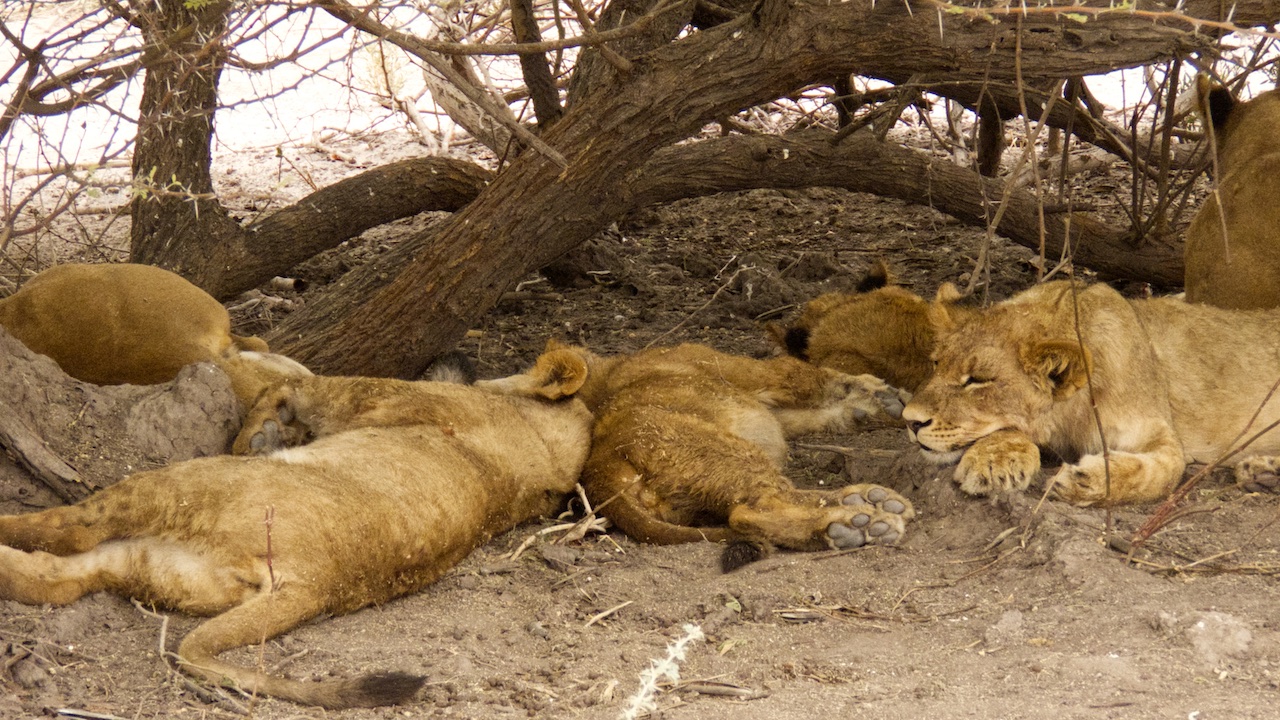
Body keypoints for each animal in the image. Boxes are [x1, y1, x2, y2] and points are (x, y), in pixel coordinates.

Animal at [0, 353, 591, 707]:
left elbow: (294, 379)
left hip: (187, 484)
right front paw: (269, 427)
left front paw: (260, 427)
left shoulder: (370, 395)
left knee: (69, 530)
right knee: (51, 577)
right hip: (155, 564)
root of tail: (314, 587)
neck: (547, 454)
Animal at [483, 338, 916, 568]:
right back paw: (860, 521)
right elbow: (813, 376)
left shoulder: (772, 411)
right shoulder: (745, 371)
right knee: (753, 510)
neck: (605, 376)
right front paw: (887, 396)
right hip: (727, 451)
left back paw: (864, 507)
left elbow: (827, 412)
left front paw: (877, 405)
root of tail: (602, 468)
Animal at [906, 280, 1280, 504]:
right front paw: (996, 460)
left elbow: (1161, 474)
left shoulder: (1162, 434)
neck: (1077, 411)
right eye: (936, 364)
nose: (910, 421)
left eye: (978, 379)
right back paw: (1261, 472)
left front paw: (1085, 481)